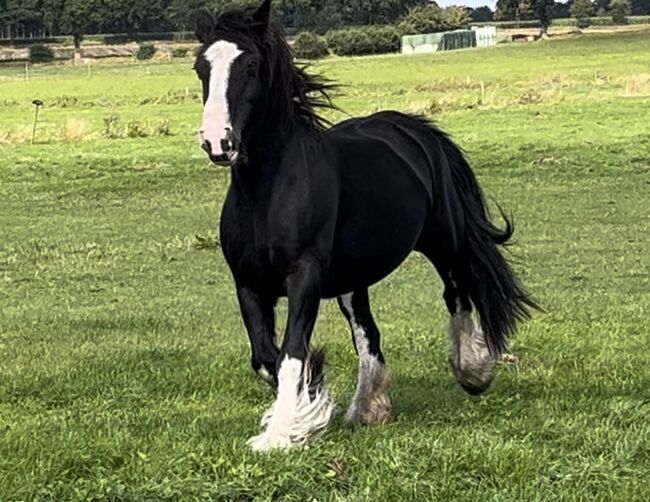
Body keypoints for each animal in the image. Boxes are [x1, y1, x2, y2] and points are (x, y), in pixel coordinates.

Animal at [194, 0, 536, 452]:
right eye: (201, 67)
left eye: (250, 65)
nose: (218, 141)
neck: (266, 192)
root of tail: (413, 129)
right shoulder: (249, 283)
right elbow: (266, 358)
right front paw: (313, 399)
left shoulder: (304, 277)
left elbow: (290, 353)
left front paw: (282, 433)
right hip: (352, 280)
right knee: (367, 332)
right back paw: (369, 408)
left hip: (443, 239)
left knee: (457, 291)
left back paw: (473, 371)